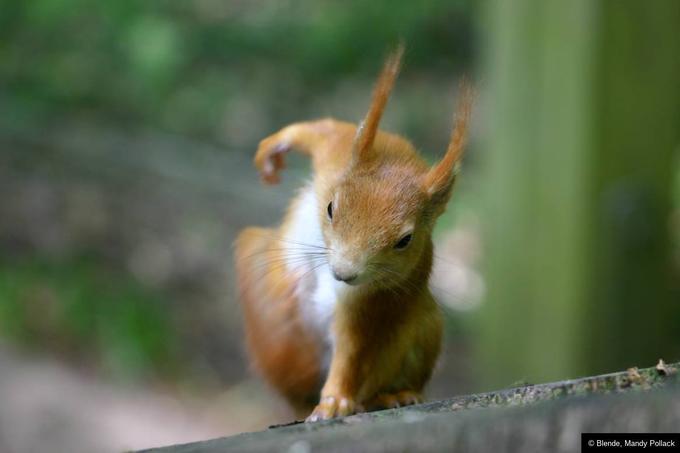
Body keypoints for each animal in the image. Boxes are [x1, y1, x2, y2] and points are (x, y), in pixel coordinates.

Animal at [234, 45, 472, 420]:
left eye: (405, 241)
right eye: (331, 208)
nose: (344, 273)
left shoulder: (371, 302)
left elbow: (353, 352)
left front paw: (334, 400)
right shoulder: (340, 152)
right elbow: (323, 130)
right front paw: (273, 149)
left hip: (425, 327)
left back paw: (392, 396)